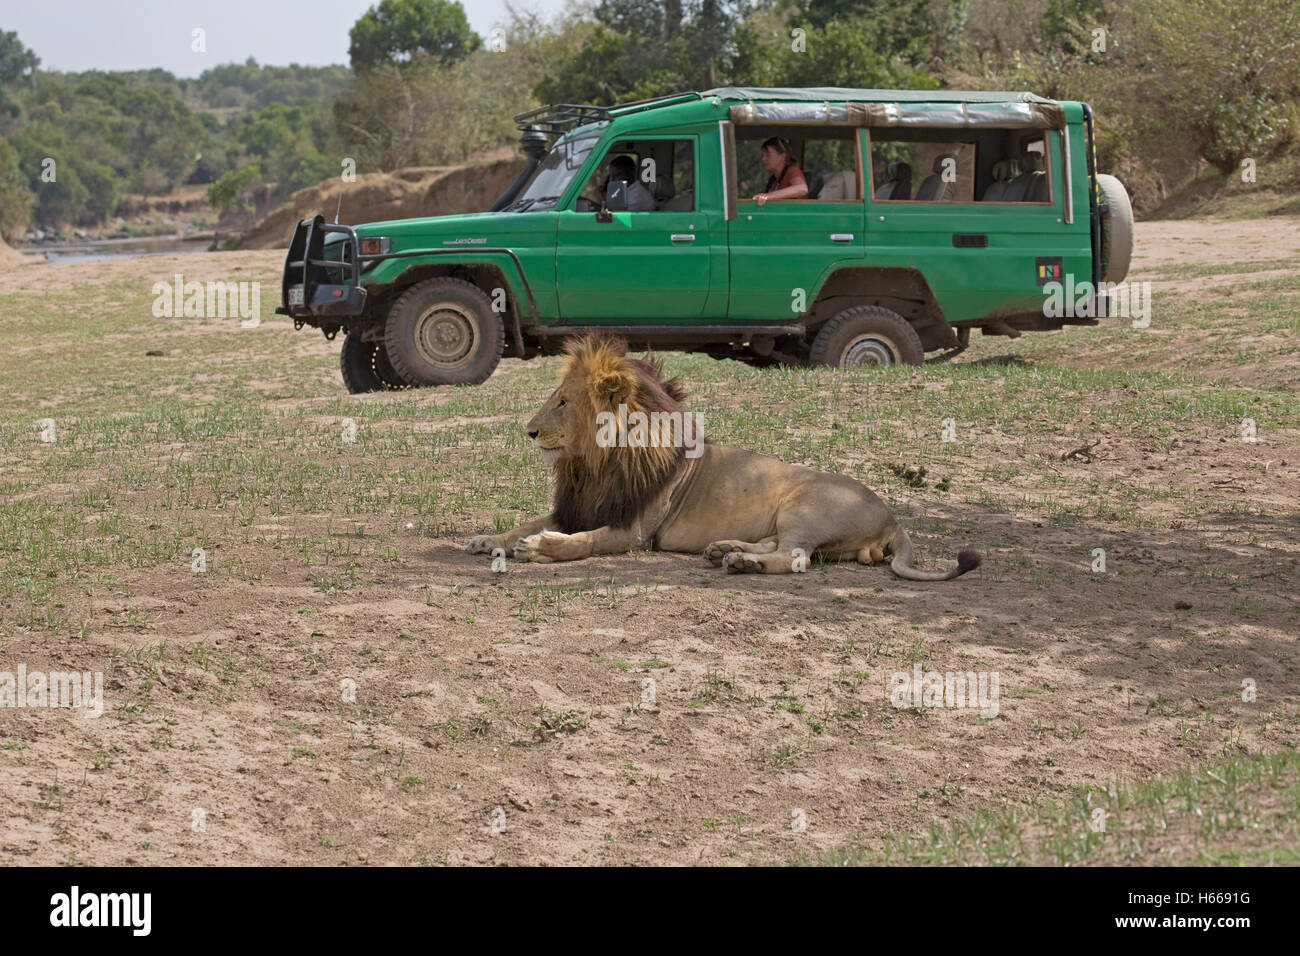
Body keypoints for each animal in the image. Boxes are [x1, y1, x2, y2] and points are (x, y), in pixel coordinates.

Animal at [470, 332, 982, 580]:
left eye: (562, 402)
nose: (529, 431)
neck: (595, 465)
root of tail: (893, 517)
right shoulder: (577, 506)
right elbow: (527, 520)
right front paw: (489, 537)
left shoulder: (632, 529)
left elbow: (583, 542)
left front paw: (539, 548)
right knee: (780, 547)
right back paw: (726, 550)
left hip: (804, 503)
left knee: (795, 558)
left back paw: (741, 564)